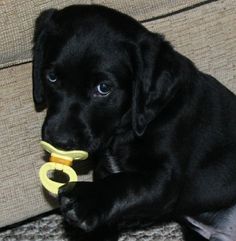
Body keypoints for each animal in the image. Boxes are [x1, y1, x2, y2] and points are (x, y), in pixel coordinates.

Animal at [33, 4, 236, 241]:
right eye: (52, 77)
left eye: (103, 88)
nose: (59, 141)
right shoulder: (105, 168)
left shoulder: (165, 177)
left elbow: (125, 183)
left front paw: (86, 199)